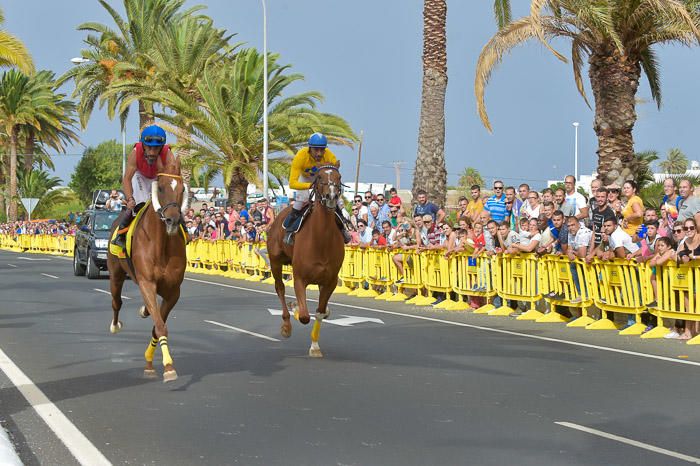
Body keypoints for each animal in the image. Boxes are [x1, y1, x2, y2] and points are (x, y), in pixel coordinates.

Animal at [106, 160, 187, 382]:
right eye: (161, 188)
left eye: (182, 189)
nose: (172, 220)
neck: (161, 245)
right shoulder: (147, 282)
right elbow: (159, 325)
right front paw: (168, 366)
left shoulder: (173, 290)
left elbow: (157, 325)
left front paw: (151, 362)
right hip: (116, 274)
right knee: (116, 301)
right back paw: (115, 325)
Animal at [266, 164, 346, 356]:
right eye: (319, 177)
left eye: (339, 177)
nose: (331, 196)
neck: (321, 240)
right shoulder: (300, 278)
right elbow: (304, 316)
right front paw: (295, 306)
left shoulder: (330, 280)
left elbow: (319, 312)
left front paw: (315, 346)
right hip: (275, 261)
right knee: (280, 288)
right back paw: (287, 323)